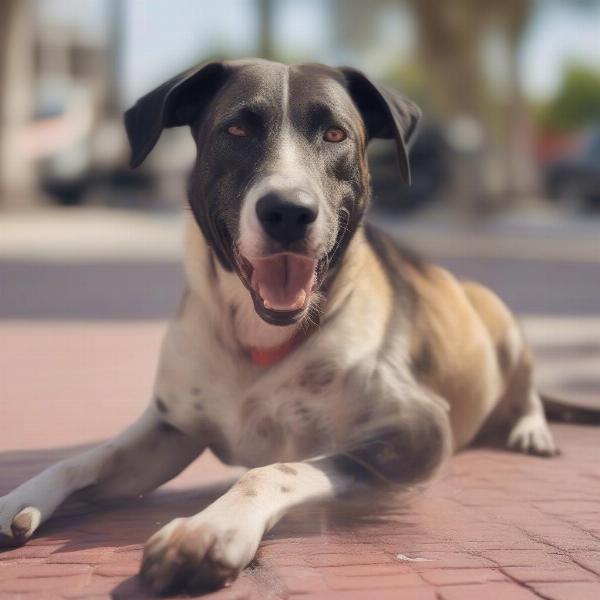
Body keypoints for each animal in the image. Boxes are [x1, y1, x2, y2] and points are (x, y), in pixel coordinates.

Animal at [2, 59, 560, 596]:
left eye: (335, 134)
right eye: (237, 129)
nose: (288, 211)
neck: (257, 339)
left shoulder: (415, 430)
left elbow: (273, 469)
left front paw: (209, 530)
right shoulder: (169, 428)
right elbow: (79, 461)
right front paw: (18, 498)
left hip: (500, 317)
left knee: (527, 387)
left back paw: (531, 430)